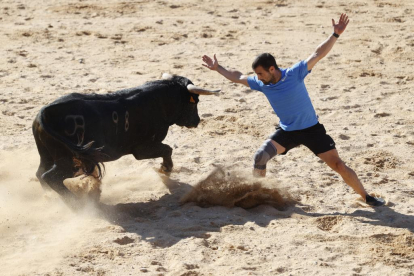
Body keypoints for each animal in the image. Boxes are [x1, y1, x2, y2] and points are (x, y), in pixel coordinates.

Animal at [32, 74, 220, 202]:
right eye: (194, 102)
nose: (197, 121)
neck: (160, 100)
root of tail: (46, 112)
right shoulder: (143, 148)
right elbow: (167, 149)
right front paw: (165, 169)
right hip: (70, 159)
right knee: (50, 177)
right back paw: (76, 202)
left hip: (48, 155)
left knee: (40, 173)